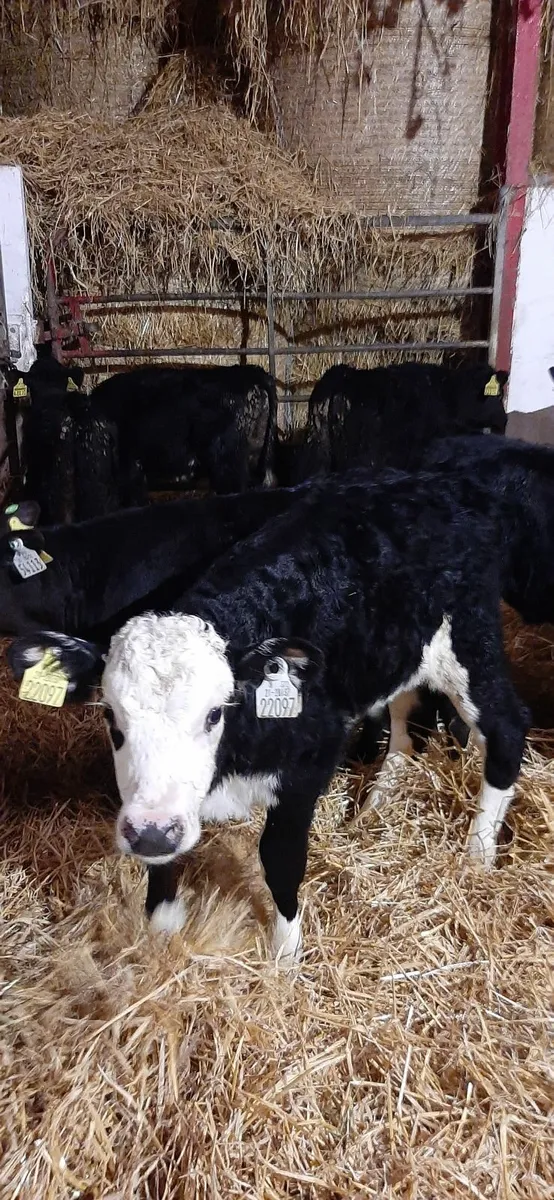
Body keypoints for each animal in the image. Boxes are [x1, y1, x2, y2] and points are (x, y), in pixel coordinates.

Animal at [8, 458, 531, 964]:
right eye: (111, 718)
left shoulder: (309, 763)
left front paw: (285, 957)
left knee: (506, 728)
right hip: (398, 654)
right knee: (405, 729)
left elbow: (279, 858)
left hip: (469, 641)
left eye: (214, 714)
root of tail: (438, 483)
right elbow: (164, 865)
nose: (151, 834)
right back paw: (376, 807)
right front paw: (162, 929)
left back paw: (478, 852)